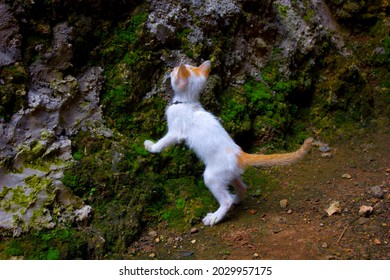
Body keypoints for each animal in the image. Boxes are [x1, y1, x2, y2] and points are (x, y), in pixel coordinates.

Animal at [143, 60, 310, 225]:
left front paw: (151, 146)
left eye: (176, 70)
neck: (187, 102)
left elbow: (163, 142)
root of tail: (240, 154)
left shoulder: (175, 132)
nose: (171, 69)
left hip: (212, 176)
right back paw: (236, 199)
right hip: (229, 174)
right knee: (242, 187)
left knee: (226, 200)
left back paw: (215, 217)